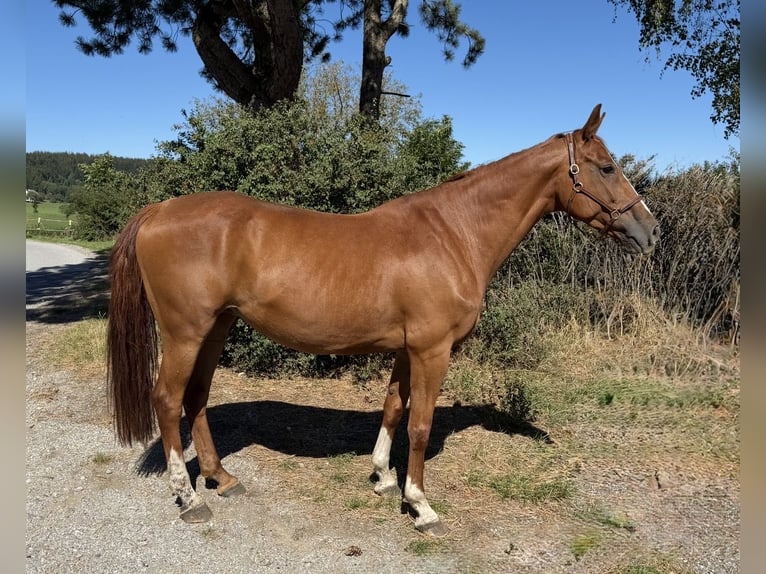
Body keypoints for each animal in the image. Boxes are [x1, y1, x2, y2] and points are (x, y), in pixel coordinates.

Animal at [107, 104, 658, 536]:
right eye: (606, 167)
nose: (650, 230)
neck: (453, 234)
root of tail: (159, 210)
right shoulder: (432, 350)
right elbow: (420, 424)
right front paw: (421, 504)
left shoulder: (406, 349)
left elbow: (394, 408)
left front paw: (384, 477)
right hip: (185, 332)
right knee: (168, 399)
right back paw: (190, 498)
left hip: (216, 327)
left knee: (196, 399)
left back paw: (221, 479)